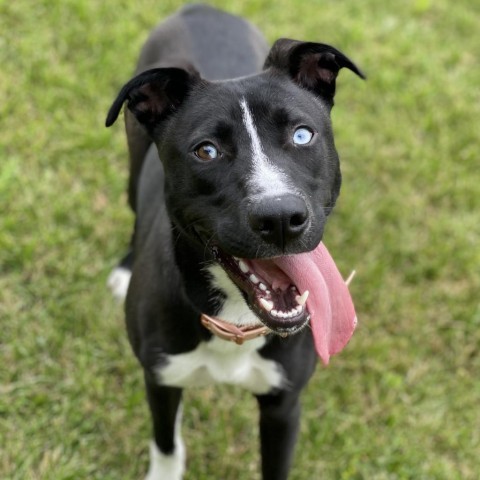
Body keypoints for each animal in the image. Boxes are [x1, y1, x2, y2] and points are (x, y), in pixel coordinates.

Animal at [106, 4, 364, 480]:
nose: (281, 218)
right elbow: (166, 446)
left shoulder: (283, 404)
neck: (236, 318)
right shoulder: (160, 379)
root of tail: (201, 9)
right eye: (206, 151)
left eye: (303, 135)